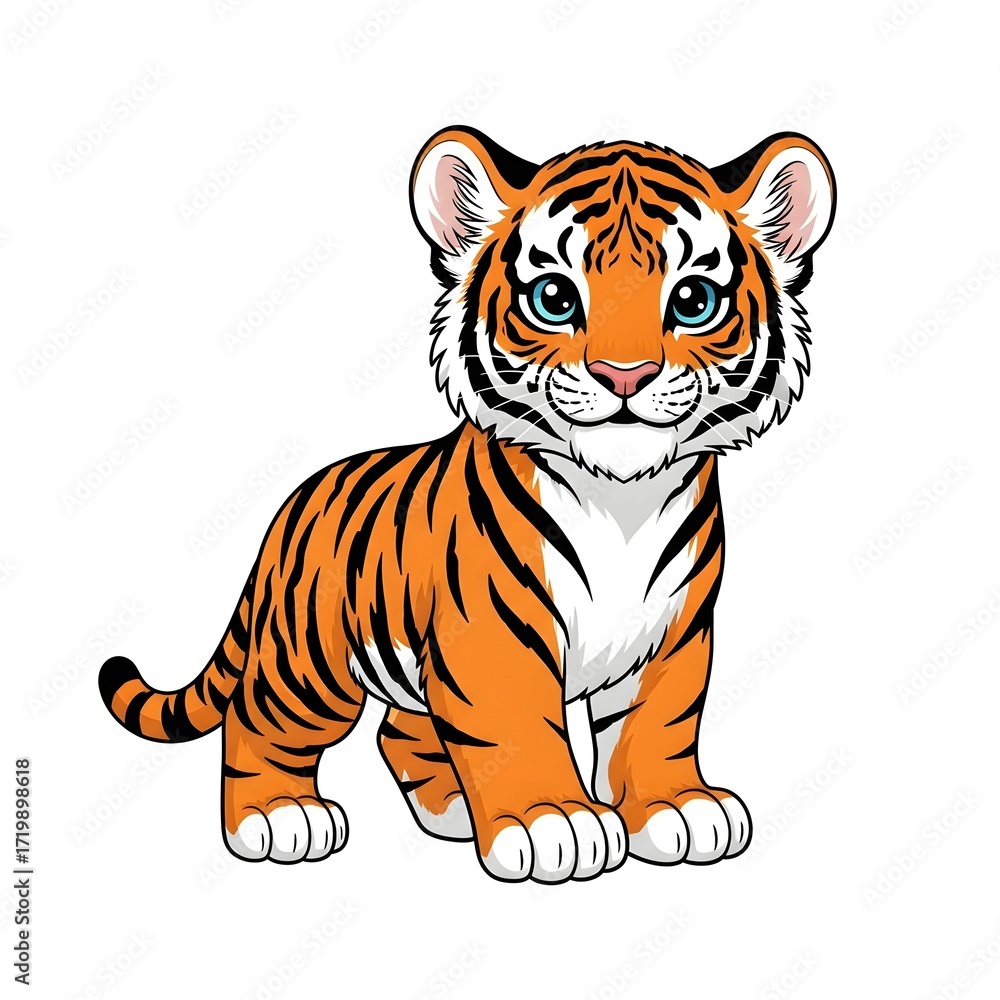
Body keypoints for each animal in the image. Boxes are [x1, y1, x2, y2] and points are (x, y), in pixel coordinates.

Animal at [99, 125, 835, 883]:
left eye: (692, 301)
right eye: (554, 297)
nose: (624, 376)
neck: (621, 499)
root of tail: (291, 506)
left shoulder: (675, 630)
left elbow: (659, 723)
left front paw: (676, 808)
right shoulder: (490, 632)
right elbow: (517, 729)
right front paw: (554, 822)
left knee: (399, 728)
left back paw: (451, 810)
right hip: (308, 663)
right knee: (257, 718)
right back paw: (278, 818)